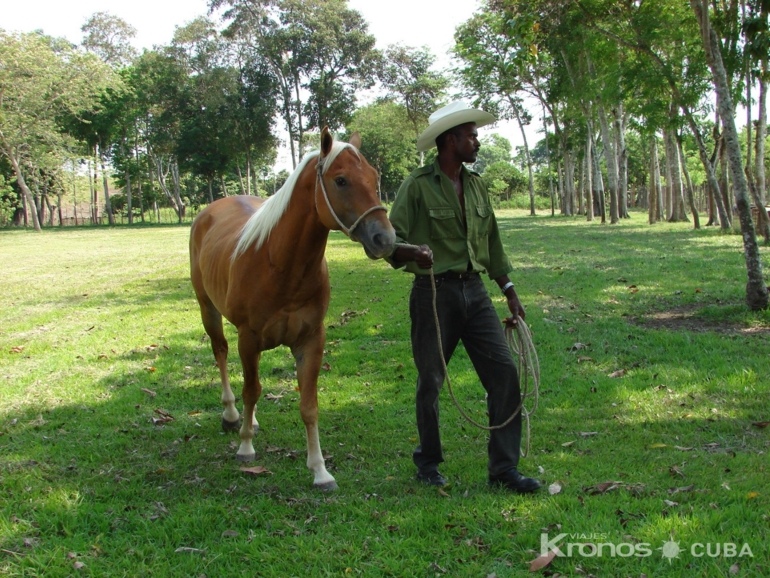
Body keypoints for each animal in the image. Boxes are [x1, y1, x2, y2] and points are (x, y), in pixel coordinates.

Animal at [190, 128, 396, 488]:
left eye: (374, 177)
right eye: (340, 180)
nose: (385, 239)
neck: (279, 263)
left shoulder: (311, 341)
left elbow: (308, 405)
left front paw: (320, 470)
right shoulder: (249, 339)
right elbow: (251, 391)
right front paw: (245, 447)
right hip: (208, 311)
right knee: (221, 354)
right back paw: (231, 416)